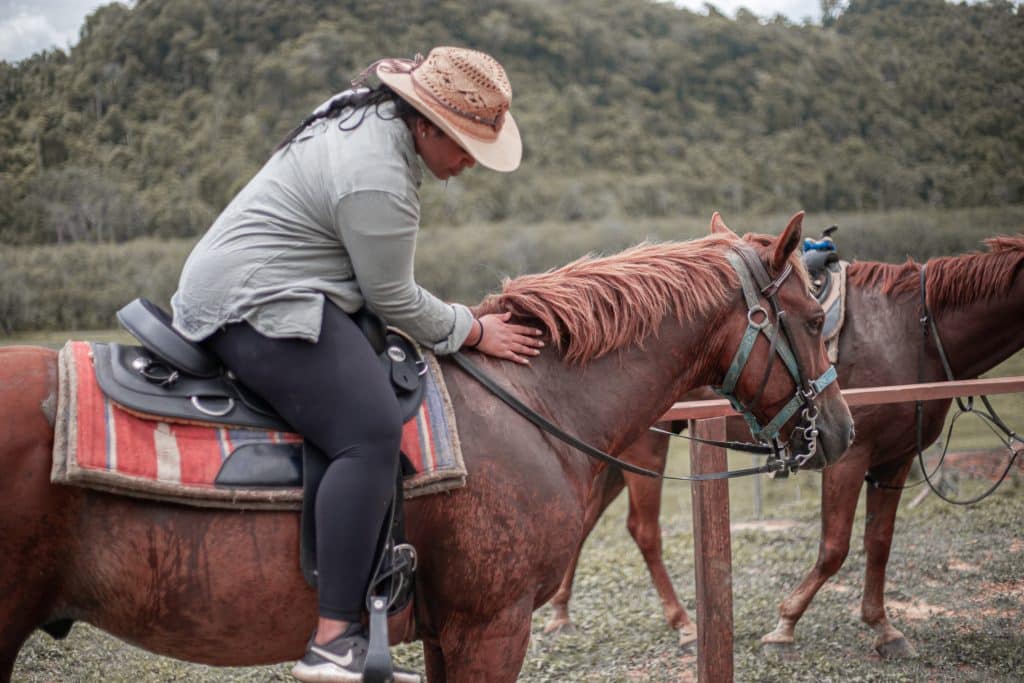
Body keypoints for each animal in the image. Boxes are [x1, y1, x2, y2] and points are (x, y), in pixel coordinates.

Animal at [548, 233, 1024, 655]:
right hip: (643, 447)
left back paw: (561, 612)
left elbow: (879, 542)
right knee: (643, 531)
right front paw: (786, 623)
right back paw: (682, 624)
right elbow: (835, 548)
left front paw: (883, 628)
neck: (908, 331)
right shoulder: (850, 459)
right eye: (813, 323)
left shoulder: (896, 461)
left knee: (588, 518)